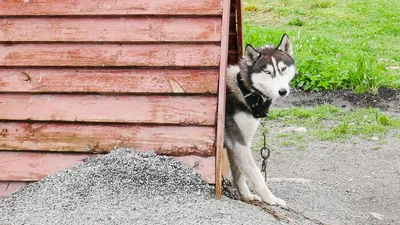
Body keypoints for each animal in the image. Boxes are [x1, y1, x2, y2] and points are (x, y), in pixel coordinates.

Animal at [223, 33, 296, 206]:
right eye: (267, 72)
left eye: (283, 69)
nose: (282, 91)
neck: (246, 92)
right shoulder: (238, 142)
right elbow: (256, 175)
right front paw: (271, 199)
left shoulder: (239, 144)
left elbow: (239, 173)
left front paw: (246, 196)